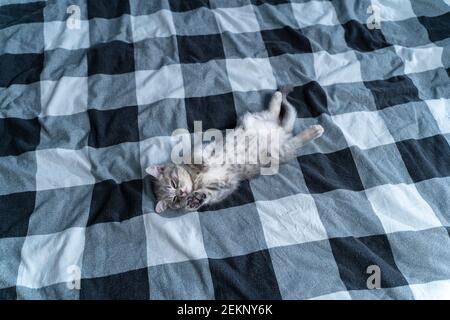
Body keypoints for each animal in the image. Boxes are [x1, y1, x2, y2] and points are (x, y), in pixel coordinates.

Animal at [148, 87, 324, 212]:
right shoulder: (224, 186)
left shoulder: (202, 147)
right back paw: (313, 129)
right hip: (282, 149)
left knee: (274, 113)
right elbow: (208, 194)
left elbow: (196, 156)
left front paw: (201, 164)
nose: (182, 194)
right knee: (294, 137)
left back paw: (281, 98)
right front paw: (194, 200)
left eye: (174, 183)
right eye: (175, 200)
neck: (197, 179)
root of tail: (281, 131)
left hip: (259, 122)